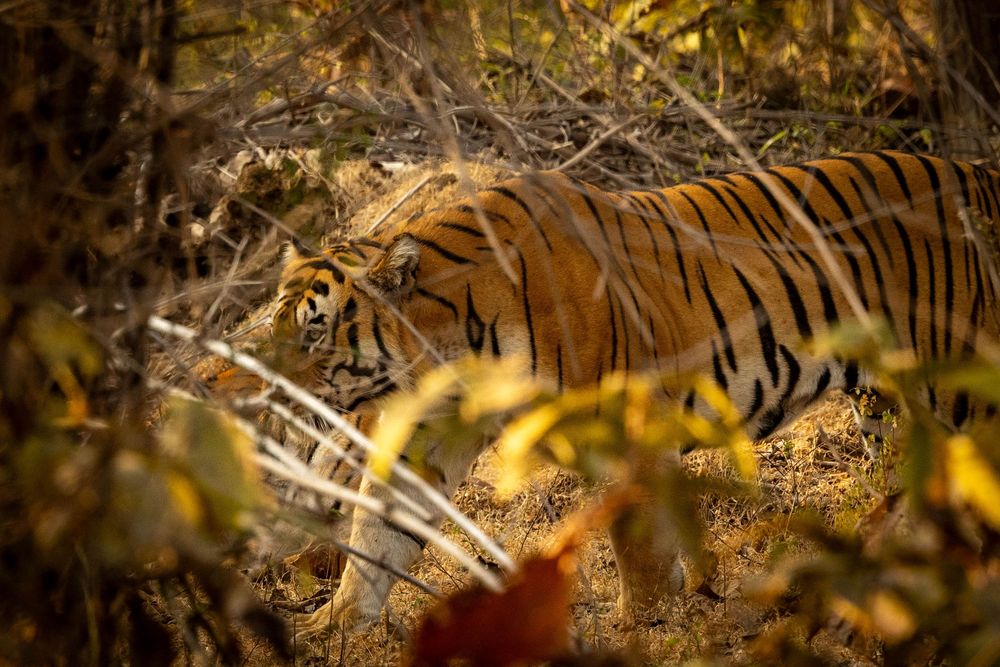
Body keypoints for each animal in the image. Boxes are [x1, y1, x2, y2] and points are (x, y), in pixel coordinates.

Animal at [267, 150, 1000, 636]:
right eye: (275, 325)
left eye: (313, 331)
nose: (266, 393)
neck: (447, 353)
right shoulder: (427, 437)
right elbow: (379, 532)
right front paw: (334, 625)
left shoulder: (628, 430)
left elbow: (640, 544)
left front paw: (647, 626)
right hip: (889, 408)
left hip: (964, 389)